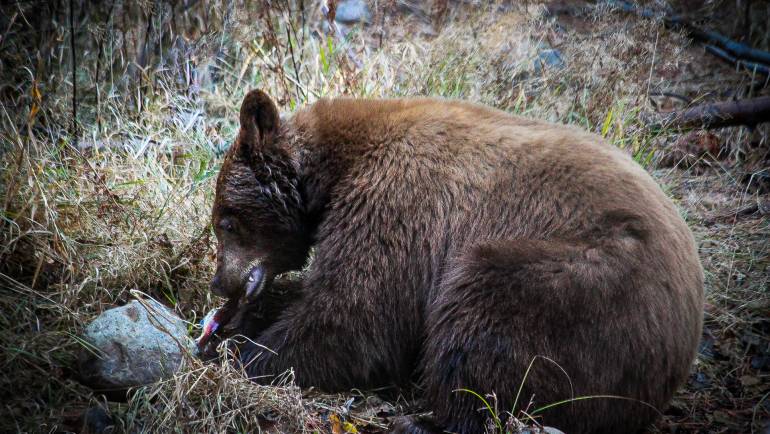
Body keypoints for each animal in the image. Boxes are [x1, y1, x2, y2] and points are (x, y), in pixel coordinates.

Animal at [208, 90, 704, 434]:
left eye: (225, 222)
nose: (219, 283)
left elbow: (357, 316)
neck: (334, 170)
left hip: (585, 289)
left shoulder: (399, 202)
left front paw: (243, 354)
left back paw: (424, 420)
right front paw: (234, 329)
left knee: (482, 314)